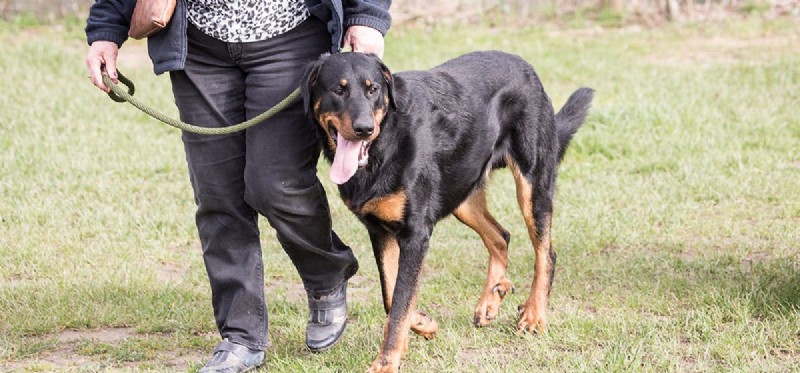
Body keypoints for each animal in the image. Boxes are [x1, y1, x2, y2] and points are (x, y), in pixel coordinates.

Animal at [300, 50, 592, 372]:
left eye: (372, 90)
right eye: (338, 91)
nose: (365, 128)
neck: (385, 143)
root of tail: (527, 68)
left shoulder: (415, 235)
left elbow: (399, 301)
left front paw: (387, 362)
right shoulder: (379, 231)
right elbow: (391, 296)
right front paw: (422, 324)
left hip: (531, 186)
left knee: (545, 254)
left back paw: (533, 316)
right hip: (462, 194)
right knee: (500, 236)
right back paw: (491, 300)